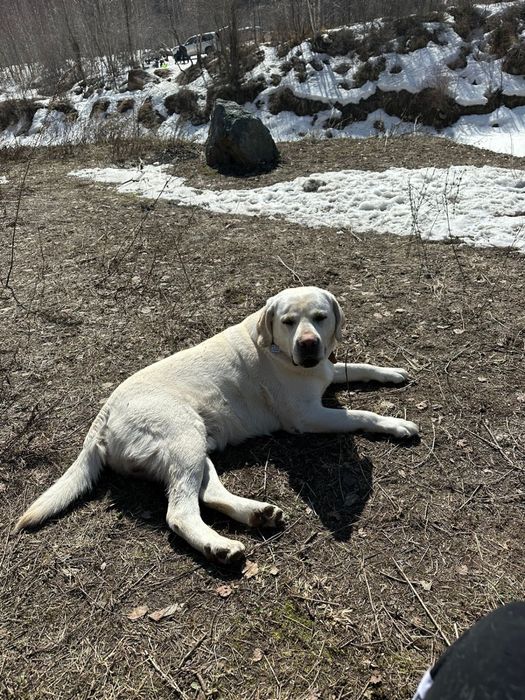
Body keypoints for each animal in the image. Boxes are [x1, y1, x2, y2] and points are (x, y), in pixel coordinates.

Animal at [15, 286, 418, 564]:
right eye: (288, 322)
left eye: (320, 317)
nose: (308, 345)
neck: (277, 349)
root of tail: (104, 415)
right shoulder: (307, 416)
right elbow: (361, 415)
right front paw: (396, 423)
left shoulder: (327, 370)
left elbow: (358, 367)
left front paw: (392, 372)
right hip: (183, 438)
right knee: (179, 512)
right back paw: (219, 546)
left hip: (195, 446)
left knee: (208, 494)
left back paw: (257, 514)